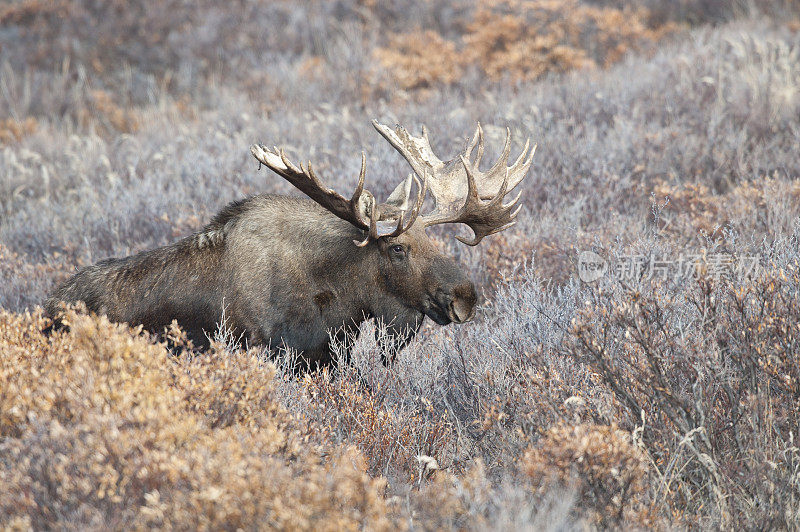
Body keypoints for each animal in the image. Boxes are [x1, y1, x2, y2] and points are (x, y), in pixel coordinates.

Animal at [42, 121, 532, 368]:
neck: (336, 299)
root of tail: (43, 307)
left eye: (432, 237)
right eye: (397, 248)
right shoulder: (270, 353)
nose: (465, 295)